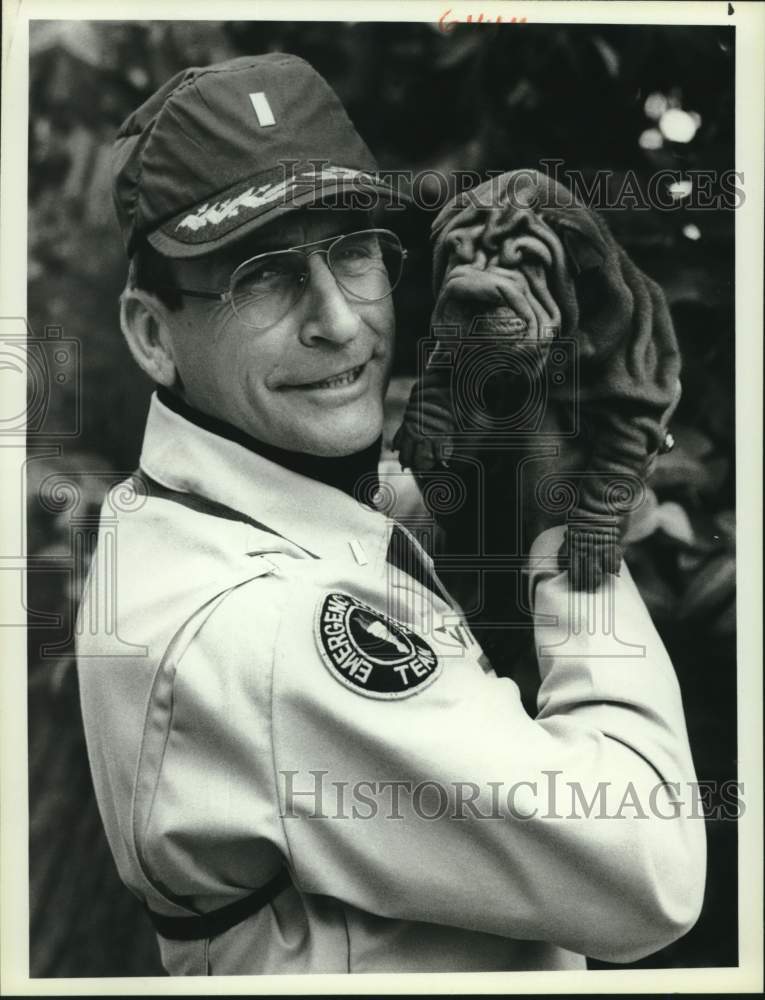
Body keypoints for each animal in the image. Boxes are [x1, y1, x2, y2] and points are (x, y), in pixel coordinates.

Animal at [394, 170, 680, 592]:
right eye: (454, 254)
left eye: (531, 264)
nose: (471, 293)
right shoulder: (449, 345)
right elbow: (438, 377)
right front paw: (422, 435)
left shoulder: (638, 393)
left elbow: (610, 475)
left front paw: (589, 556)